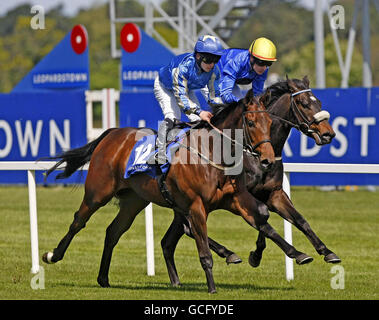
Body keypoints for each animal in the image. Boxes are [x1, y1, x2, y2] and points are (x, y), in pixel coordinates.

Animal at [41, 89, 314, 292]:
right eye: (250, 121)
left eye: (270, 122)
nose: (267, 159)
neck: (214, 154)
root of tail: (111, 133)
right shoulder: (196, 206)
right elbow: (203, 250)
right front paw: (213, 287)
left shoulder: (235, 199)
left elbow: (262, 219)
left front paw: (299, 253)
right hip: (98, 192)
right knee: (79, 221)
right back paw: (53, 255)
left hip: (134, 201)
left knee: (113, 231)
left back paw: (103, 278)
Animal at [162, 76, 342, 282]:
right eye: (303, 103)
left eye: (318, 102)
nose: (328, 134)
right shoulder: (243, 195)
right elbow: (263, 221)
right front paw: (258, 255)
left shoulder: (274, 193)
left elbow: (299, 220)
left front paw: (327, 252)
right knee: (189, 229)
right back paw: (229, 254)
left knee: (171, 239)